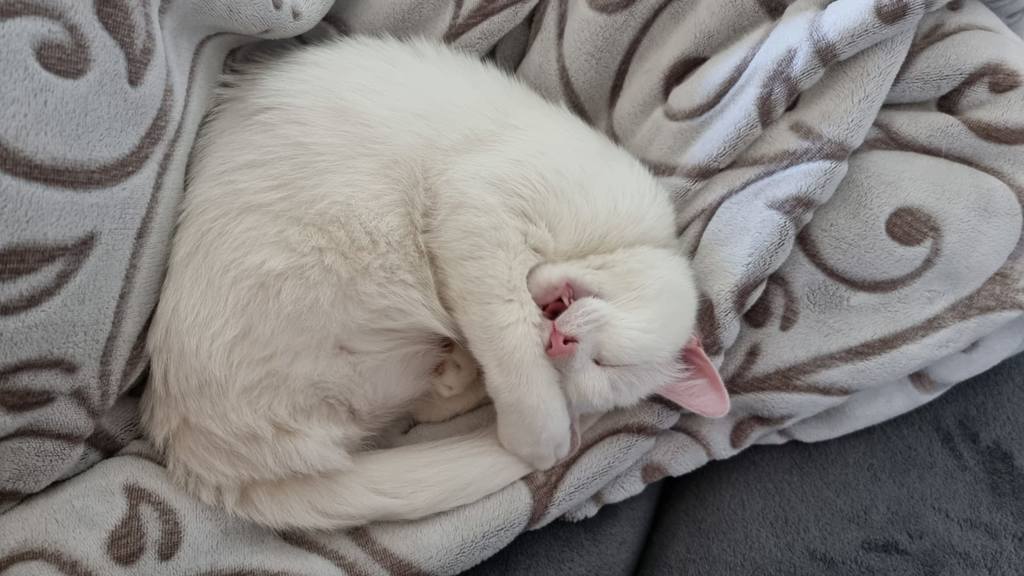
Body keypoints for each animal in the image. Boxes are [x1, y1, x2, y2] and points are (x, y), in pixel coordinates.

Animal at [141, 35, 730, 531]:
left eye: (590, 373)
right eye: (607, 364)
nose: (564, 343)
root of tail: (203, 457)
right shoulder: (479, 206)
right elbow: (510, 338)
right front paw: (539, 436)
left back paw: (451, 376)